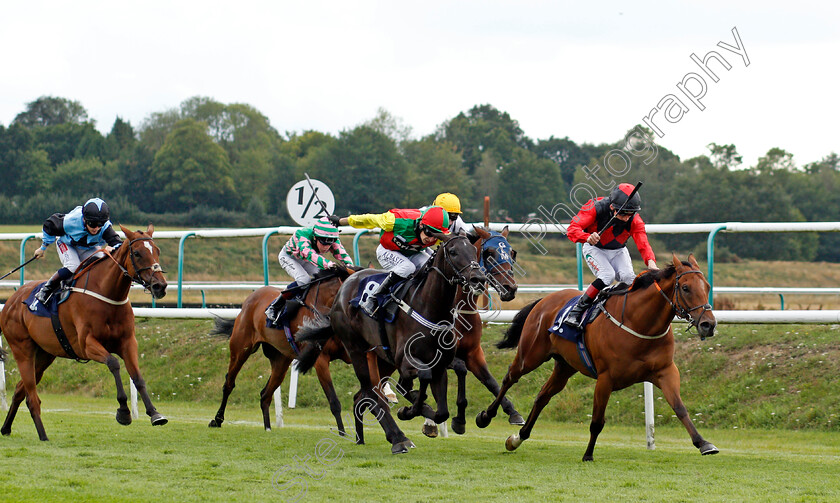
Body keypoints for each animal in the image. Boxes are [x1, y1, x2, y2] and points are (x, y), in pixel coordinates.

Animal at [0, 225, 169, 440]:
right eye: (137, 253)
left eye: (157, 251)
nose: (160, 286)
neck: (106, 294)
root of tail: (10, 301)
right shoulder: (87, 344)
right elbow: (113, 363)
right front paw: (123, 412)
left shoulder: (128, 342)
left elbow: (137, 377)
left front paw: (155, 414)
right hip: (22, 350)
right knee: (31, 396)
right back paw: (43, 435)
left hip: (44, 355)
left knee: (20, 390)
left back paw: (6, 428)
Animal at [208, 266, 360, 436]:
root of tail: (249, 300)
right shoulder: (320, 360)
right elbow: (334, 400)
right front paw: (342, 433)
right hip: (240, 349)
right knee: (229, 383)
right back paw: (217, 420)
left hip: (280, 361)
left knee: (265, 395)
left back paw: (268, 427)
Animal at [296, 234, 486, 454]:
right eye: (454, 252)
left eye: (474, 251)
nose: (478, 279)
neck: (429, 307)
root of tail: (344, 287)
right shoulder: (405, 362)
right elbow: (420, 378)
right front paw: (409, 410)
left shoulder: (439, 365)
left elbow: (442, 411)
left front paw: (433, 415)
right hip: (356, 350)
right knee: (372, 394)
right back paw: (398, 438)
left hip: (383, 360)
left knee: (362, 396)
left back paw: (363, 437)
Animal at [476, 254, 720, 462]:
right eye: (686, 288)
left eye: (707, 287)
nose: (708, 324)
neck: (640, 322)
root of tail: (545, 299)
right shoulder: (605, 378)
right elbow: (597, 421)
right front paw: (588, 454)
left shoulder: (665, 371)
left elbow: (680, 408)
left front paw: (703, 443)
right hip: (530, 355)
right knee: (510, 377)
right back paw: (487, 416)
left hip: (565, 366)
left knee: (542, 396)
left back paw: (518, 438)